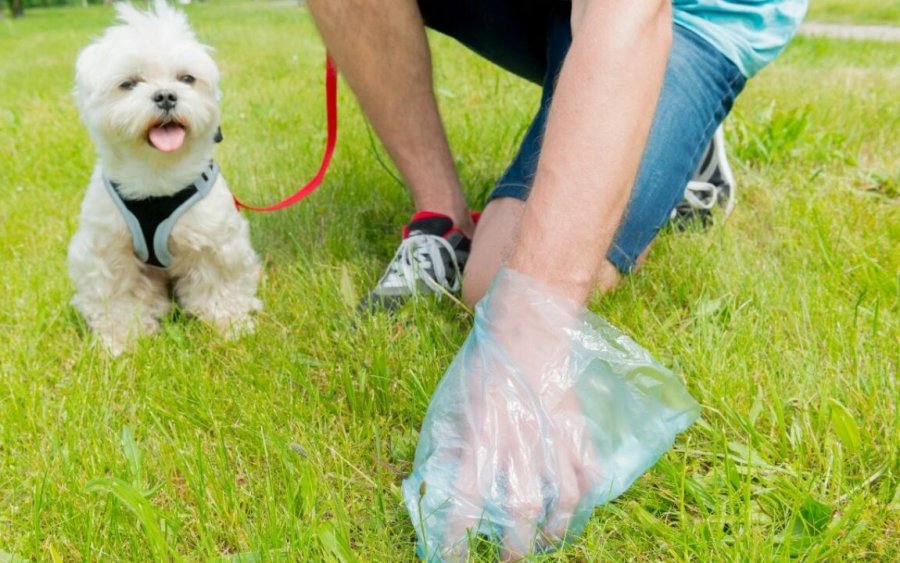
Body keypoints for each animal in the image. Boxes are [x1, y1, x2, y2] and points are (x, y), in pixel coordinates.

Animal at [70, 1, 260, 356]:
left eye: (186, 78)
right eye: (129, 84)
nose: (166, 96)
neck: (156, 175)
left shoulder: (215, 239)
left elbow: (221, 286)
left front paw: (231, 325)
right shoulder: (105, 250)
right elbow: (115, 297)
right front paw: (120, 341)